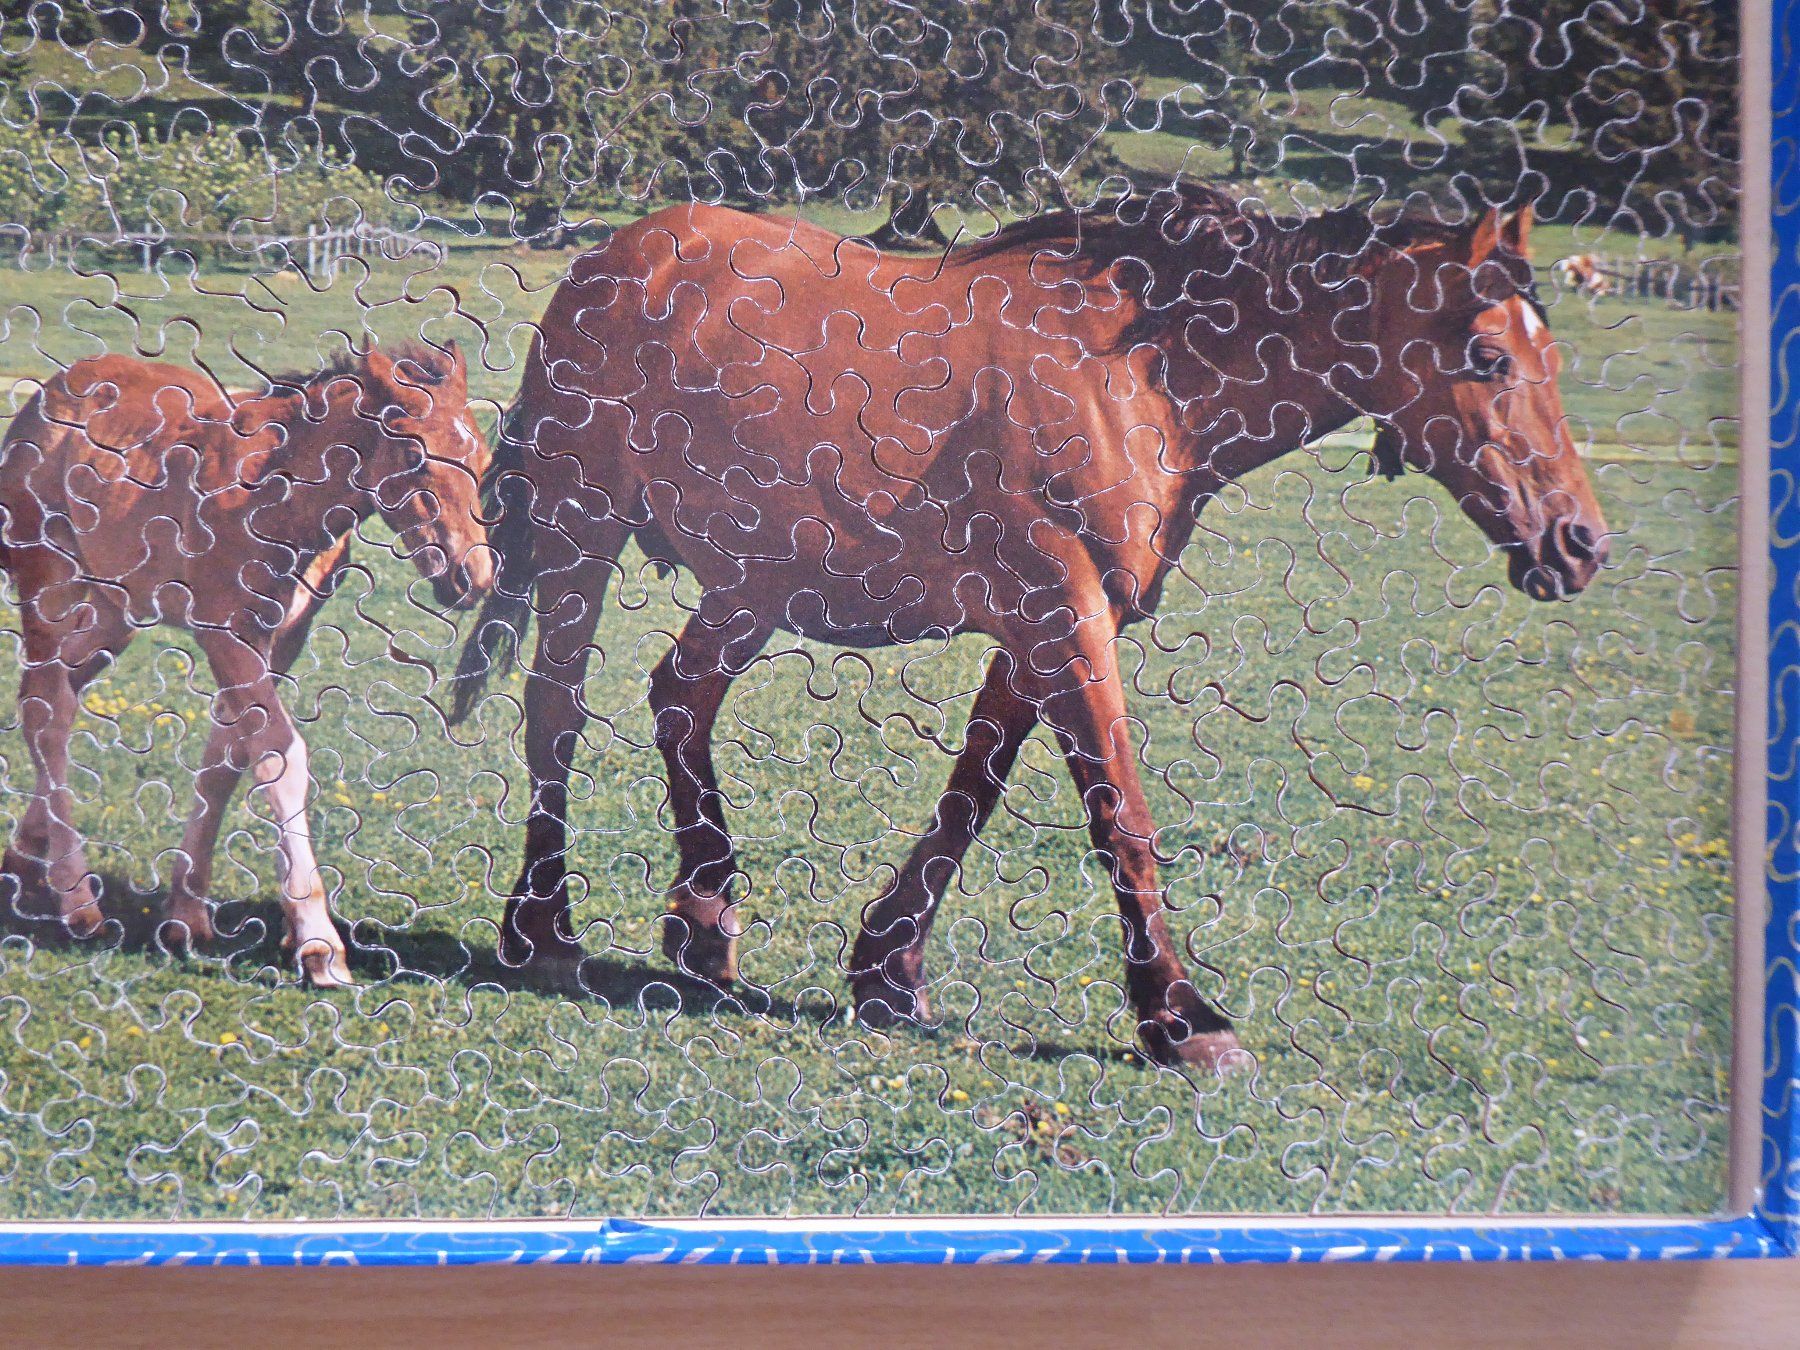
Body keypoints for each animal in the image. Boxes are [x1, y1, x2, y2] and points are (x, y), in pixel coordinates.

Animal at [0, 342, 494, 985]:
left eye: (482, 455)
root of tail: (43, 399)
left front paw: (185, 915)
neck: (275, 496)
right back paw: (78, 901)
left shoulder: (279, 638)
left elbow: (226, 760)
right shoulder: (225, 634)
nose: (472, 578)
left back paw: (25, 861)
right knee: (47, 709)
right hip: (47, 585)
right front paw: (318, 944)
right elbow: (279, 756)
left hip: (115, 613)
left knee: (56, 691)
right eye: (413, 453)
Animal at [448, 186, 1609, 1069]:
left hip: (752, 584)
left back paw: (704, 921)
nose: (1581, 541)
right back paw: (543, 926)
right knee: (555, 712)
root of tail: (617, 258)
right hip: (585, 540)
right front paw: (1180, 1016)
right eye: (1490, 358)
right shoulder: (1063, 619)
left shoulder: (1043, 629)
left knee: (680, 699)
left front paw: (888, 969)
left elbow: (974, 795)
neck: (1133, 375)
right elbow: (1121, 817)